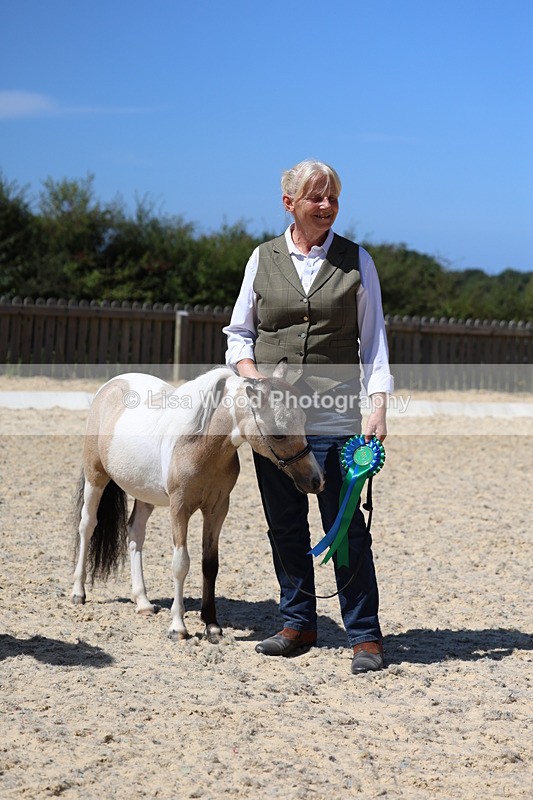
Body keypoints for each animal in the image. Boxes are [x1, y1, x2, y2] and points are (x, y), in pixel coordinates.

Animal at [71, 362, 324, 641]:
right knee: (87, 525)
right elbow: (181, 563)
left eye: (303, 422)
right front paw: (178, 627)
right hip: (96, 478)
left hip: (144, 494)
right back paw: (78, 592)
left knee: (135, 534)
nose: (316, 480)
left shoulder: (217, 509)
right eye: (279, 434)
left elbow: (209, 564)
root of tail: (111, 385)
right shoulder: (179, 509)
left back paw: (143, 602)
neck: (199, 445)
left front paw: (211, 624)